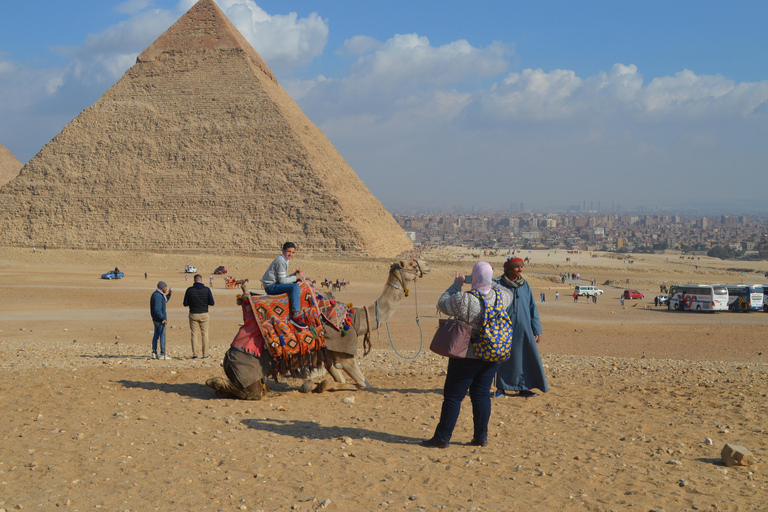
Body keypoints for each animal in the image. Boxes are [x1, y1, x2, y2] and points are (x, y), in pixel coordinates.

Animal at [207, 260, 428, 400]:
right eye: (410, 263)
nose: (425, 265)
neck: (355, 319)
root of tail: (228, 359)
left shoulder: (329, 355)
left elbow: (341, 378)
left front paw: (317, 385)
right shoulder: (344, 353)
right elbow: (363, 384)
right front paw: (321, 385)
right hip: (247, 372)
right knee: (243, 390)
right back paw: (217, 382)